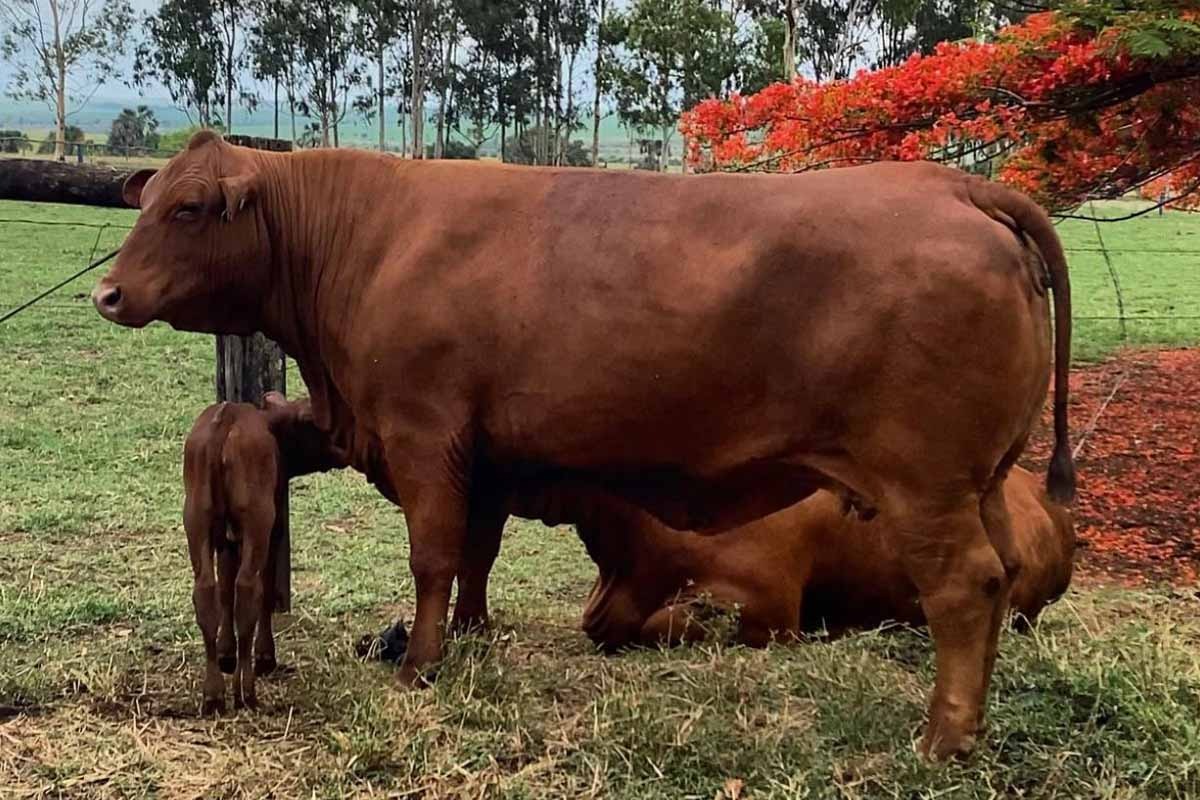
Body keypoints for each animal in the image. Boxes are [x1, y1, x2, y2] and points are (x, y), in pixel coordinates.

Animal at [181, 393, 343, 714]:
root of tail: (225, 419)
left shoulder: (228, 541)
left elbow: (225, 591)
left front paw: (226, 653)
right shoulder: (272, 530)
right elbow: (265, 592)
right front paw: (265, 656)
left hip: (196, 518)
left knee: (206, 590)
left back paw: (214, 693)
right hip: (257, 523)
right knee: (248, 590)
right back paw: (245, 690)